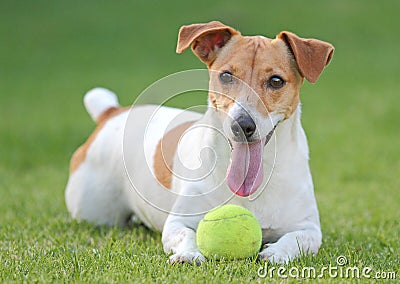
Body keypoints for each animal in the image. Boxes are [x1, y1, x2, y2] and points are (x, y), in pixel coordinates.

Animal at [65, 20, 334, 264]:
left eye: (276, 81)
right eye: (226, 76)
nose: (242, 124)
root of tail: (112, 112)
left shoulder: (308, 228)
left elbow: (296, 239)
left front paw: (276, 253)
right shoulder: (178, 222)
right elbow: (185, 235)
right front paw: (189, 254)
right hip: (92, 211)